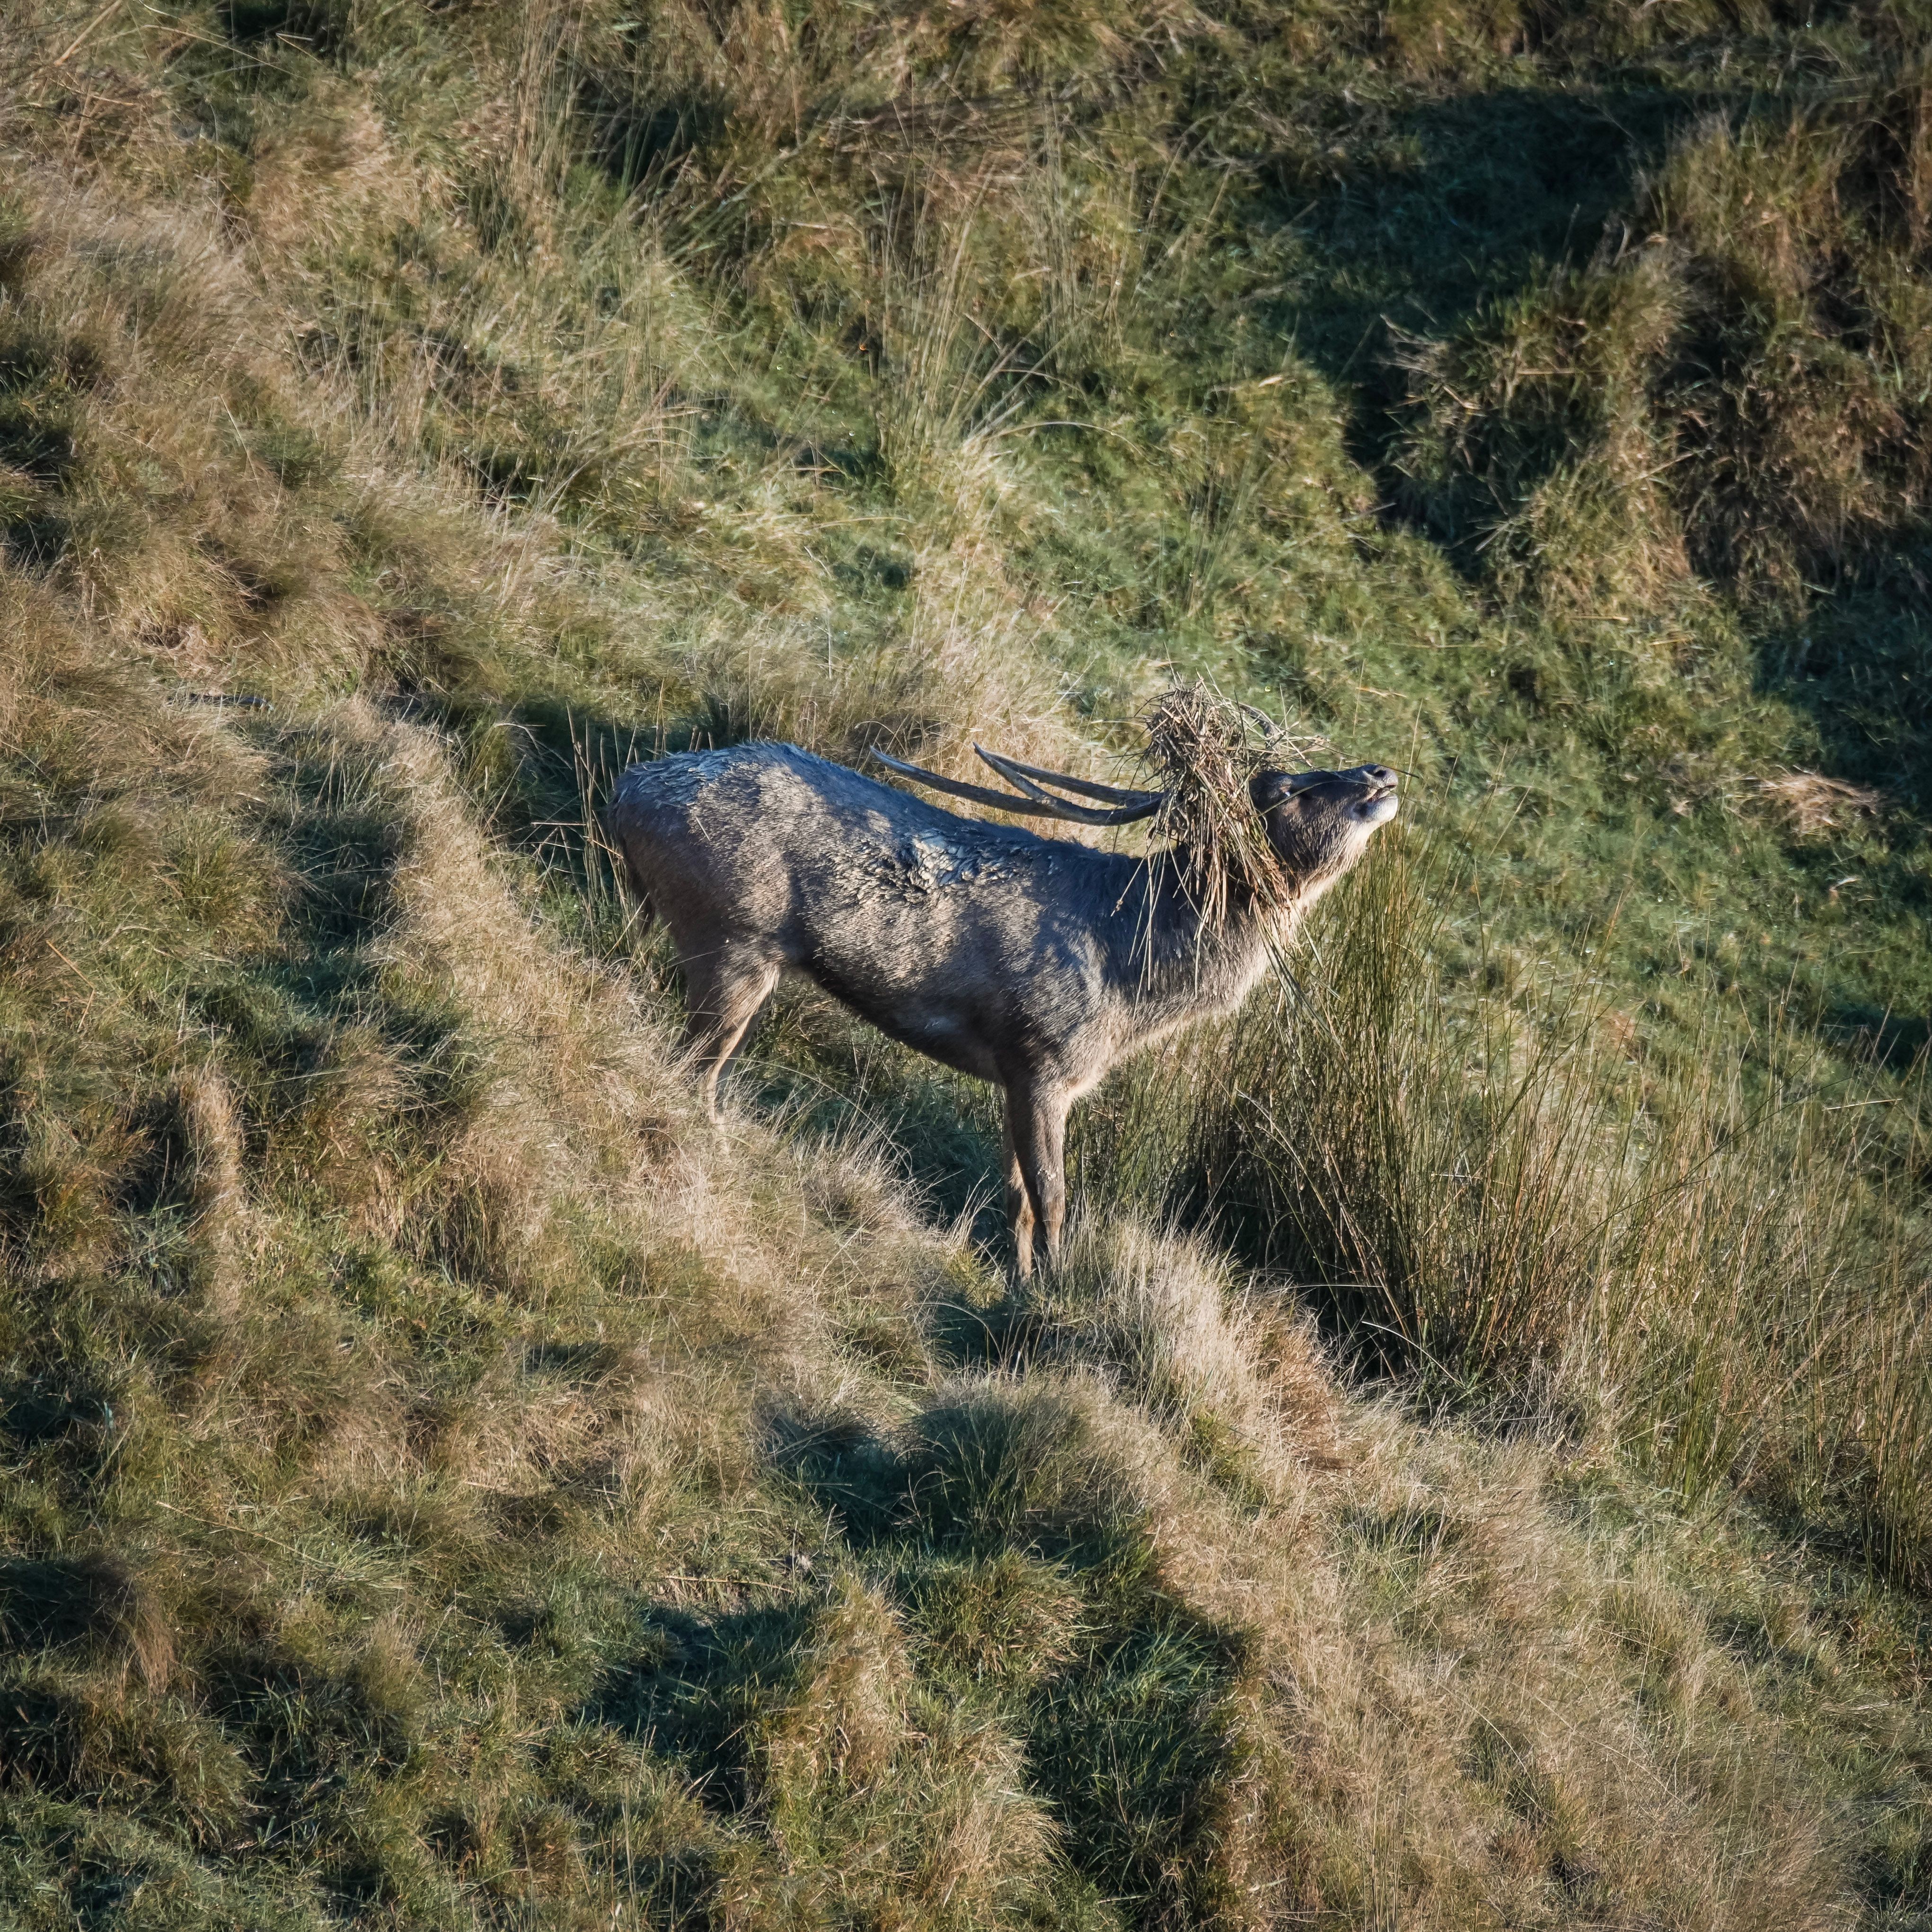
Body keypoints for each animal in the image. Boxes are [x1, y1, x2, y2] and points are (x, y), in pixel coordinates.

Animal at [607, 730, 1398, 1276]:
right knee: (695, 1064)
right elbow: (1052, 1195)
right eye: (1287, 788)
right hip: (732, 934)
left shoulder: (1024, 1075)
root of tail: (626, 793)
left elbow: (1016, 1194)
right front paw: (1057, 1287)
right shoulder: (1041, 1052)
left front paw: (1015, 1278)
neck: (1129, 980)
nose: (1381, 773)